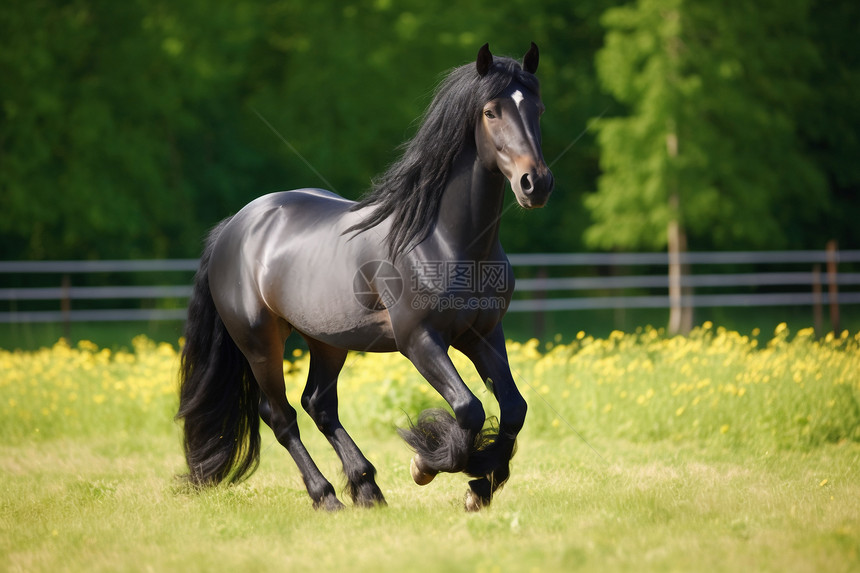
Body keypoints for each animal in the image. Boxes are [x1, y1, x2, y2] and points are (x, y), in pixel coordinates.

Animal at [177, 43, 556, 510]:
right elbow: (470, 408)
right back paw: (326, 497)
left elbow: (514, 408)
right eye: (490, 112)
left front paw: (481, 485)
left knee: (319, 404)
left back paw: (367, 487)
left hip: (327, 341)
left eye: (538, 108)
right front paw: (428, 463)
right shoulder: (419, 340)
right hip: (260, 343)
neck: (444, 241)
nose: (535, 183)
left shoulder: (482, 334)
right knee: (280, 416)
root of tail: (234, 226)